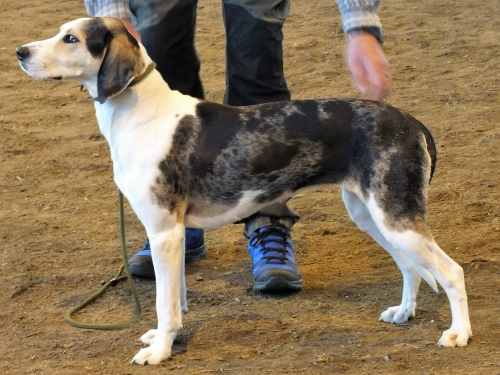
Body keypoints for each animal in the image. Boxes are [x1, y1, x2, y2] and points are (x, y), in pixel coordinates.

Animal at [17, 18, 472, 368]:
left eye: (71, 38)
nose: (20, 51)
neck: (141, 114)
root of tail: (412, 122)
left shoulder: (164, 232)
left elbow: (165, 303)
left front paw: (160, 351)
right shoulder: (173, 235)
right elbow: (176, 297)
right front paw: (166, 337)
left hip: (396, 218)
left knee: (451, 272)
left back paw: (459, 333)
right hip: (373, 216)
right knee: (410, 267)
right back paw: (404, 313)